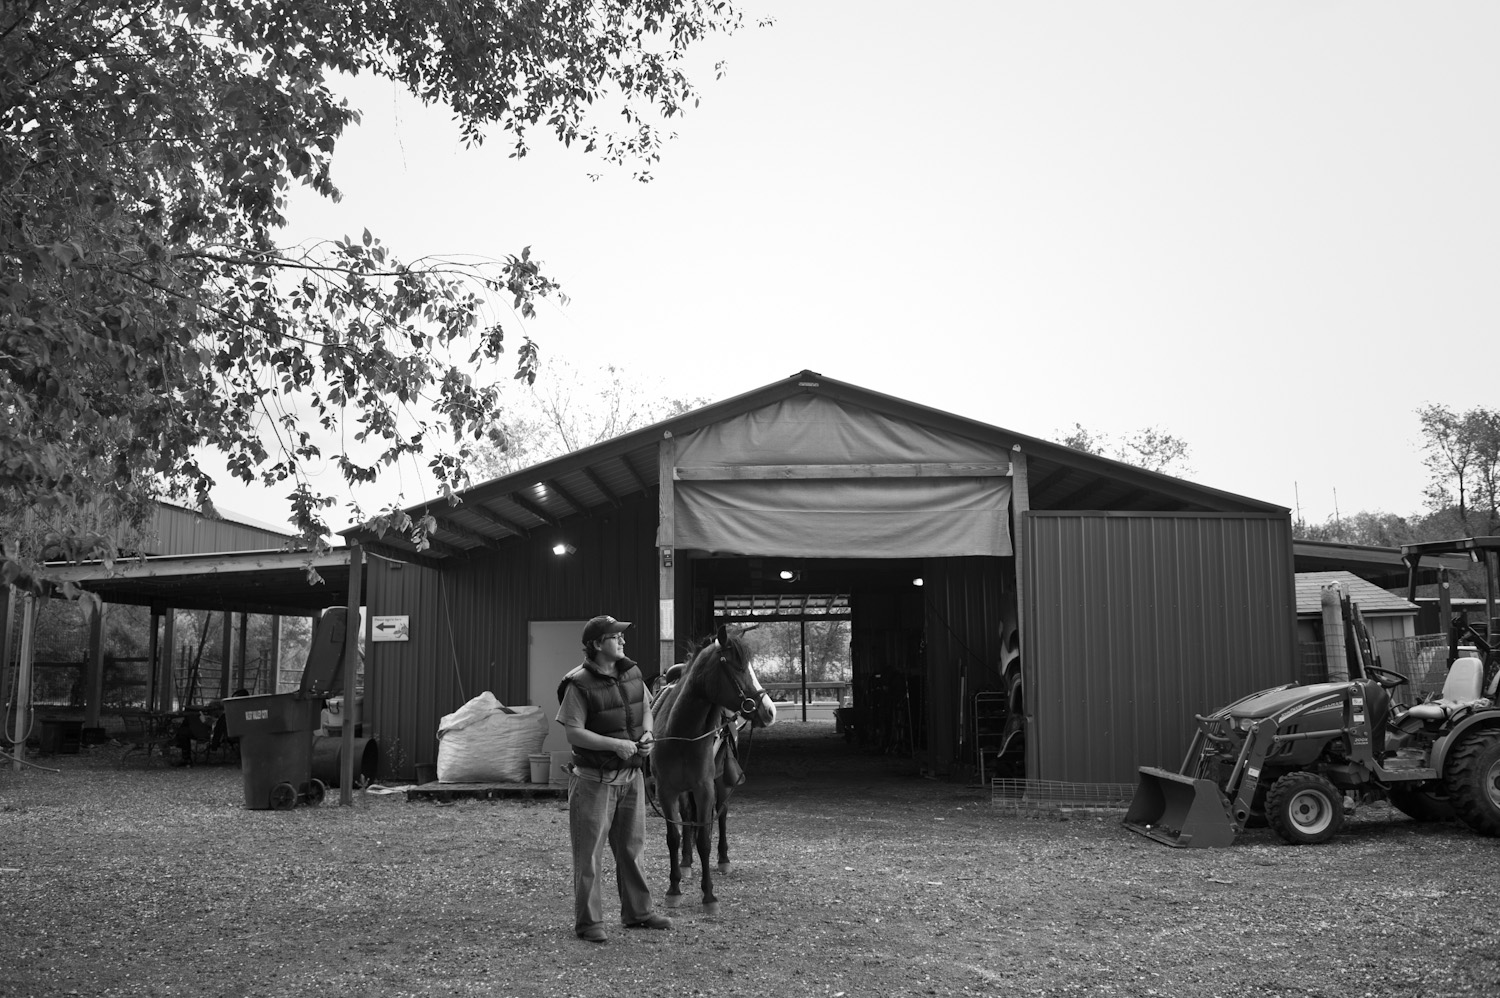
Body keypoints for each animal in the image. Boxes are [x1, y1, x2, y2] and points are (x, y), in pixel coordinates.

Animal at [651, 627, 780, 912]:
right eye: (738, 666)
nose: (770, 711)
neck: (681, 734)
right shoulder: (666, 790)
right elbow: (674, 836)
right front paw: (673, 889)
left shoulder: (705, 788)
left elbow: (705, 839)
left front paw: (709, 896)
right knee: (688, 818)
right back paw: (686, 863)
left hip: (721, 783)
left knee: (721, 814)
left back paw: (723, 860)